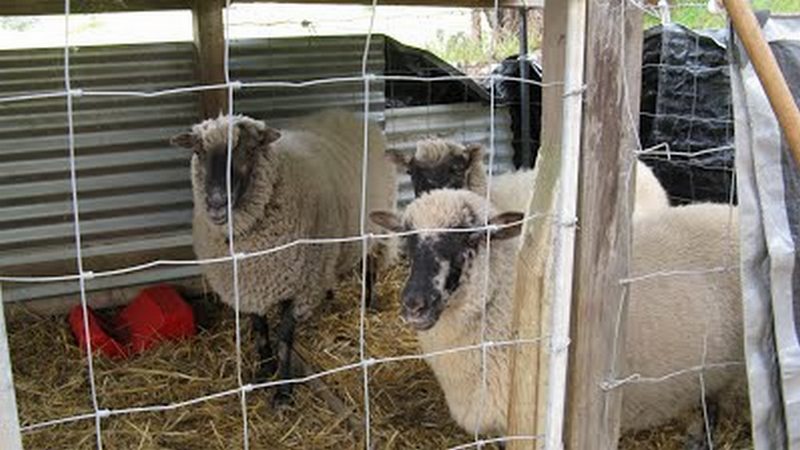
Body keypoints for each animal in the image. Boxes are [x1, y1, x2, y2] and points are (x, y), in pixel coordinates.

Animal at [170, 110, 396, 404]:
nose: (217, 203)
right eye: (198, 151)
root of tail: (350, 115)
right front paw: (265, 371)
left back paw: (367, 305)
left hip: (373, 228)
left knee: (369, 267)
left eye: (250, 149)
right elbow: (260, 331)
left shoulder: (301, 285)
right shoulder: (248, 284)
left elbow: (284, 338)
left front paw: (283, 391)